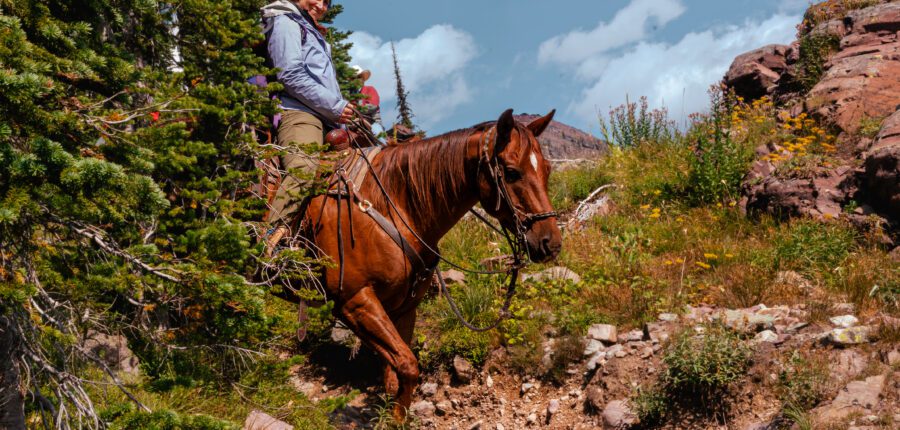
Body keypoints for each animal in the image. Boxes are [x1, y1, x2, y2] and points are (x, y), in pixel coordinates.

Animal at [288, 108, 560, 420]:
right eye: (512, 172)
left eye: (547, 170)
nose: (551, 243)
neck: (390, 207)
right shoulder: (354, 301)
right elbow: (407, 366)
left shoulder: (404, 307)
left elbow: (395, 377)